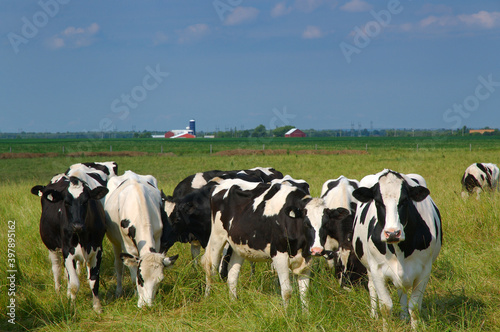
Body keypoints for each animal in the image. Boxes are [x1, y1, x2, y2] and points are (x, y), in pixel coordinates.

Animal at [32, 175, 109, 312]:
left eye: (86, 201)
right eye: (66, 202)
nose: (77, 225)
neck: (82, 237)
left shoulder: (97, 250)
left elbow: (94, 281)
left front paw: (97, 307)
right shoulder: (67, 251)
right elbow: (74, 284)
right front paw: (72, 307)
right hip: (52, 248)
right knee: (56, 269)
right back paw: (58, 291)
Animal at [103, 171, 178, 308]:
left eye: (160, 280)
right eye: (141, 278)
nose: (147, 305)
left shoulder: (157, 240)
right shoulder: (128, 247)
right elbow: (132, 276)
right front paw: (136, 295)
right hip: (115, 242)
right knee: (118, 265)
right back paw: (118, 291)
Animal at [201, 178, 350, 308]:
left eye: (326, 224)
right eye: (306, 224)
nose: (317, 250)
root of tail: (220, 185)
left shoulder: (306, 258)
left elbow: (304, 293)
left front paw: (305, 315)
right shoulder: (279, 255)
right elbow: (287, 291)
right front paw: (287, 315)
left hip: (239, 245)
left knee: (232, 275)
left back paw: (233, 302)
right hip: (217, 238)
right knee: (210, 269)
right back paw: (207, 297)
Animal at [352, 171, 442, 330]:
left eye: (405, 200)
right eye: (377, 201)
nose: (392, 233)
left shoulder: (424, 270)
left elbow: (414, 307)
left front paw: (414, 327)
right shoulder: (377, 269)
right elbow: (386, 307)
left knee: (402, 291)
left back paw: (403, 317)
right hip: (368, 267)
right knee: (372, 287)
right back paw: (374, 315)